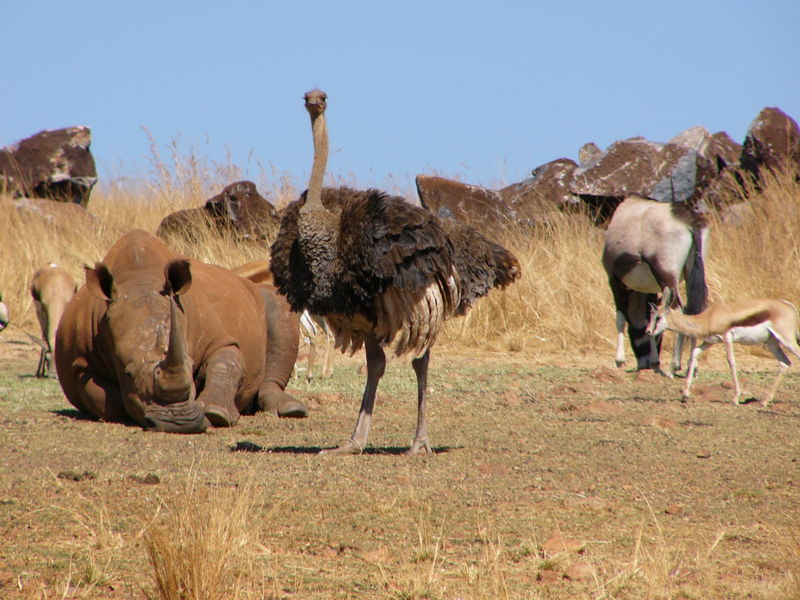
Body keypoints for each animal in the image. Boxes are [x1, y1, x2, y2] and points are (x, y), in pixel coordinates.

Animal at [55, 229, 306, 432]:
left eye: (191, 365)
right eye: (128, 373)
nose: (180, 423)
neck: (139, 281)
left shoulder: (218, 339)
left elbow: (227, 362)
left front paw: (216, 413)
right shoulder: (81, 364)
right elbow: (105, 398)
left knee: (277, 307)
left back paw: (291, 409)